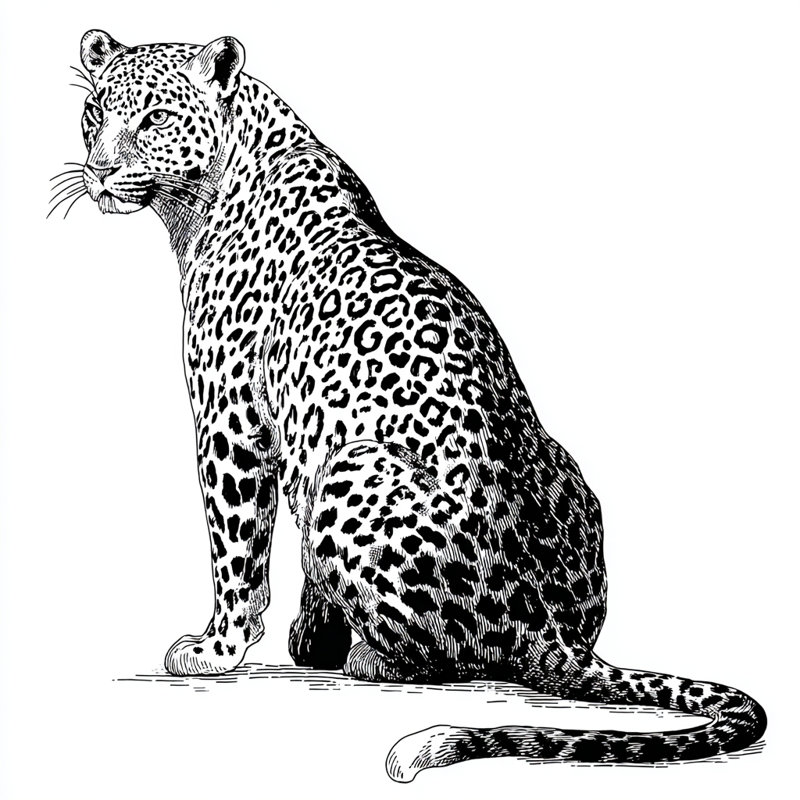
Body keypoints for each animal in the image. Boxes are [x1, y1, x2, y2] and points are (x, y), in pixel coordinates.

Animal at [69, 30, 766, 781]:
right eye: (95, 112)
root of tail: (558, 635)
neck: (203, 201)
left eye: (155, 119)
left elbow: (237, 550)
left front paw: (216, 649)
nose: (100, 172)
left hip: (355, 471)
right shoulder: (299, 437)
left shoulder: (233, 420)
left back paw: (370, 657)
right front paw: (309, 632)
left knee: (449, 658)